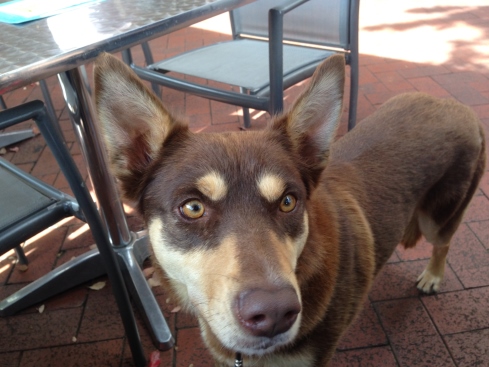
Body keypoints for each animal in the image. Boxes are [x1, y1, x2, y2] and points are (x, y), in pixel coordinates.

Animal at [92, 53, 484, 366]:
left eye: (288, 202)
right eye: (192, 207)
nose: (275, 313)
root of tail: (462, 108)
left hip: (439, 215)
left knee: (444, 242)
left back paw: (432, 276)